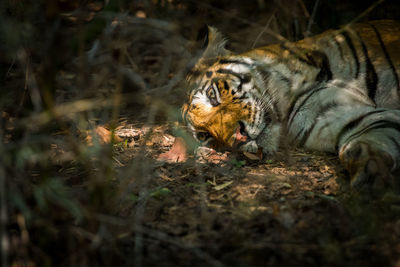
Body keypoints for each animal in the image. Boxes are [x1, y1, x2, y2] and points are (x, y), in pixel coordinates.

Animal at [182, 20, 400, 193]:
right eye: (204, 136)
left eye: (212, 96)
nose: (238, 138)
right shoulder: (335, 113)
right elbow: (373, 130)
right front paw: (370, 166)